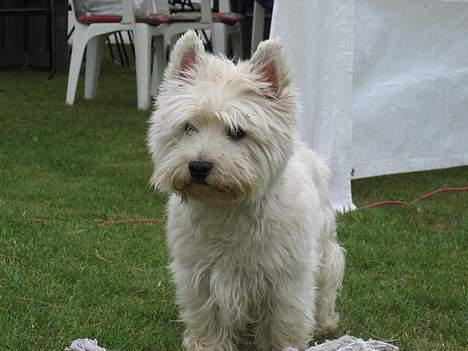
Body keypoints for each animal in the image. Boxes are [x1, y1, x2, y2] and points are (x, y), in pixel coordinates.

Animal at [148, 31, 346, 351]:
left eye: (237, 132)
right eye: (188, 127)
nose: (198, 166)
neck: (227, 208)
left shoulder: (286, 277)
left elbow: (283, 320)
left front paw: (283, 345)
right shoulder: (199, 273)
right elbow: (208, 315)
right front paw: (207, 345)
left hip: (326, 248)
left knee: (327, 284)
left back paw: (324, 321)